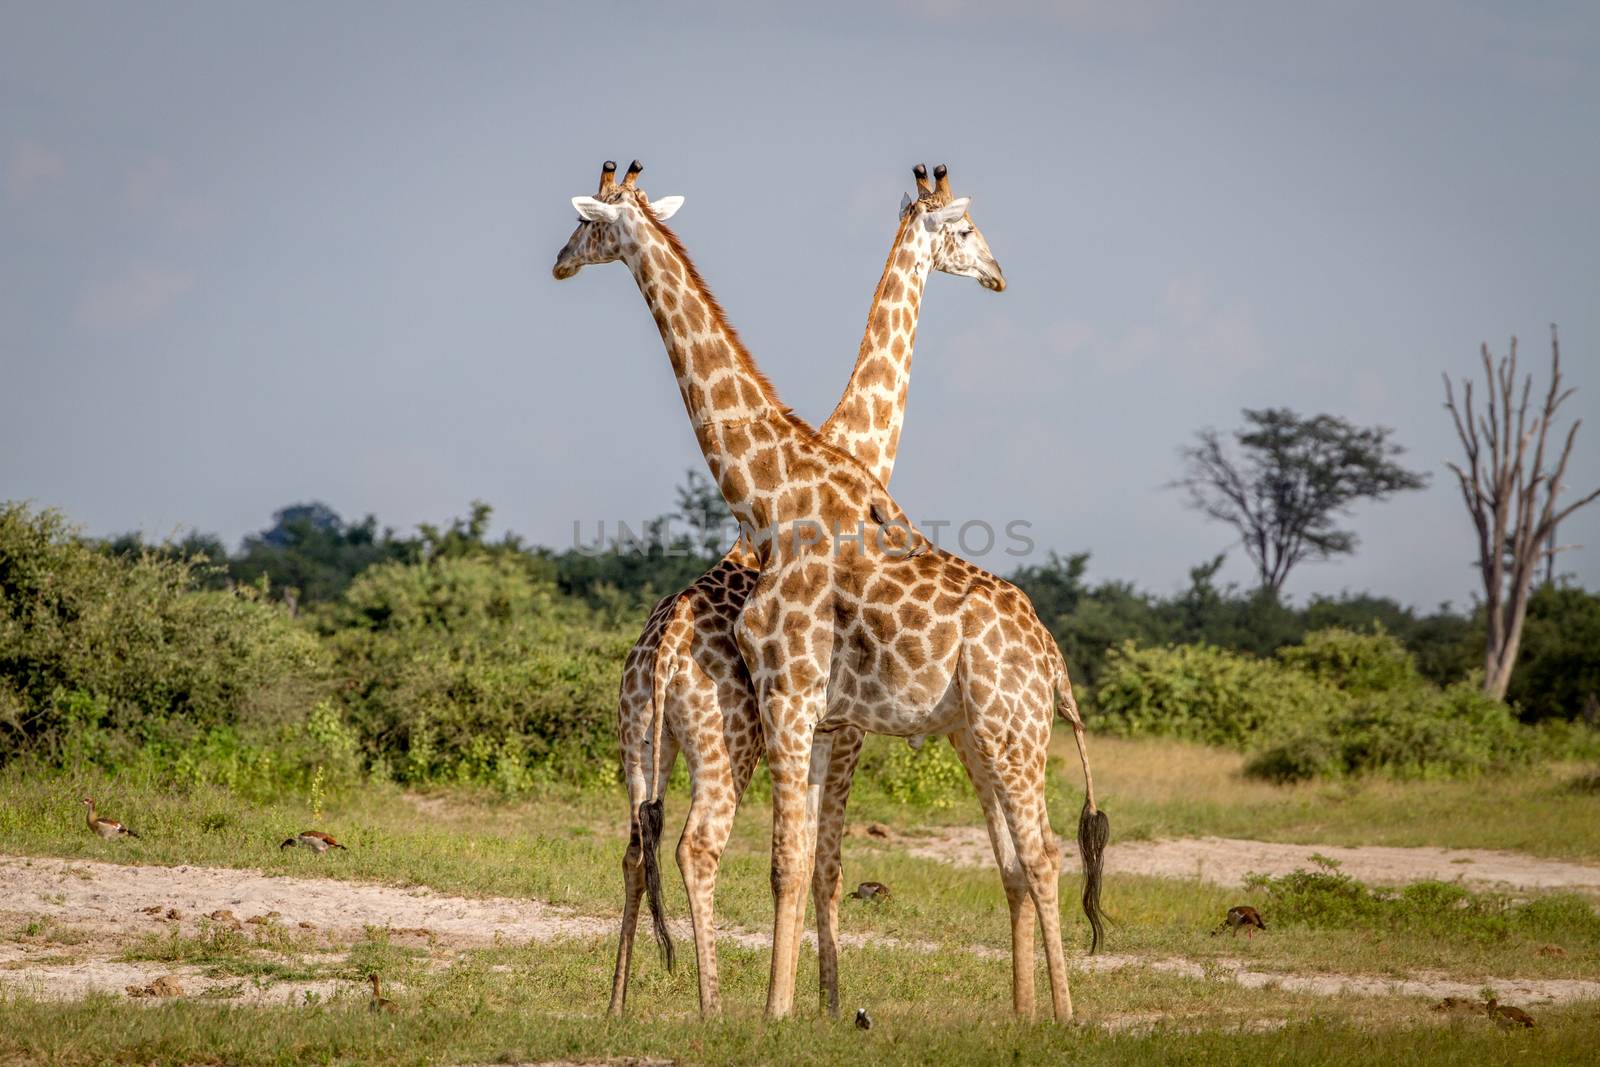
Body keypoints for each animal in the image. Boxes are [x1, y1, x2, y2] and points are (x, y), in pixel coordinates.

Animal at [556, 160, 1107, 1023]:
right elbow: (800, 857)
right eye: (965, 228)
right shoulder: (811, 713)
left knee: (1038, 854)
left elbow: (805, 858)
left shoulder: (815, 714)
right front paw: (800, 1004)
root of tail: (1051, 655)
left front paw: (798, 1005)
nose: (997, 274)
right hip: (688, 738)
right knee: (663, 844)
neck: (781, 488)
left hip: (990, 732)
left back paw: (1058, 1015)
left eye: (585, 223)